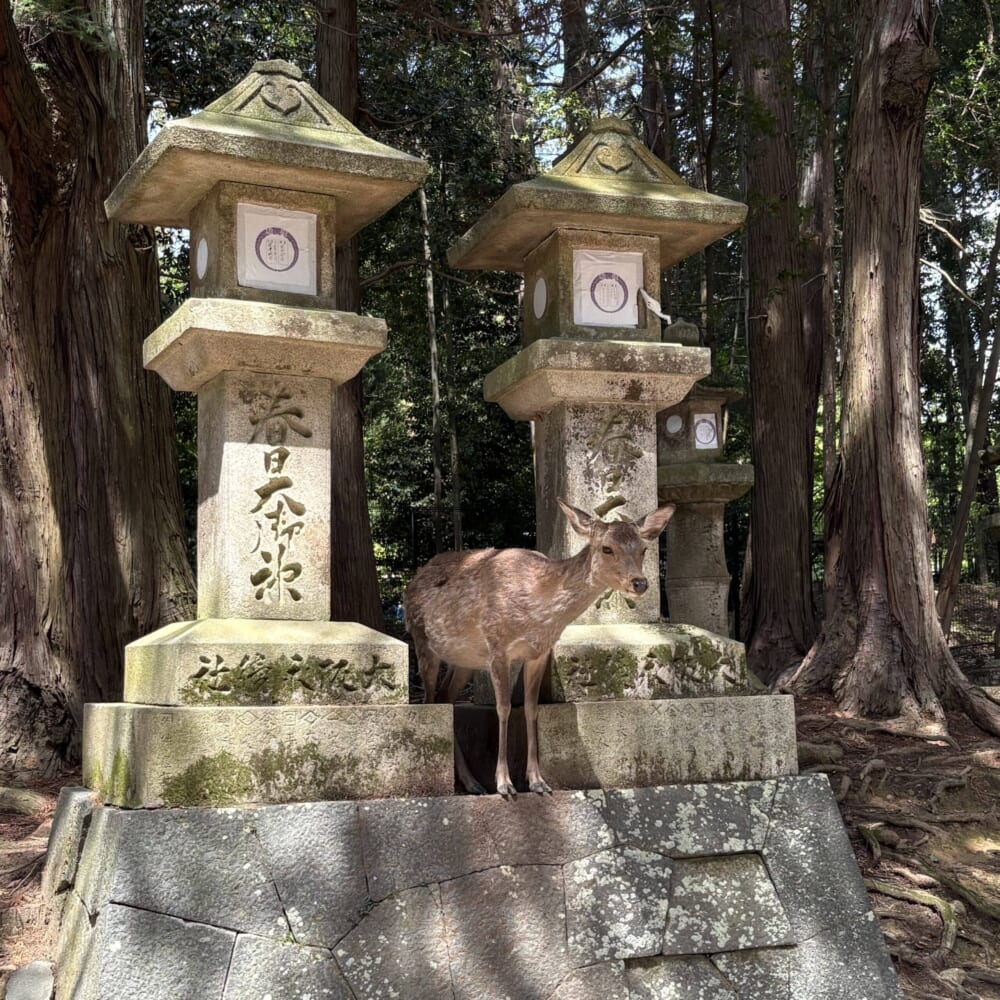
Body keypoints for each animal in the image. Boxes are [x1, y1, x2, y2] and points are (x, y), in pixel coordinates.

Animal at [404, 498, 675, 797]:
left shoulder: (539, 652)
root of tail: (411, 582)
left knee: (445, 698)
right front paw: (504, 783)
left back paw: (472, 782)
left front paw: (537, 781)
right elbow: (504, 708)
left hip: (464, 660)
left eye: (643, 549)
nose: (640, 582)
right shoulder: (497, 646)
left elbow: (531, 709)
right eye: (607, 548)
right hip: (422, 641)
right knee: (431, 700)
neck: (539, 610)